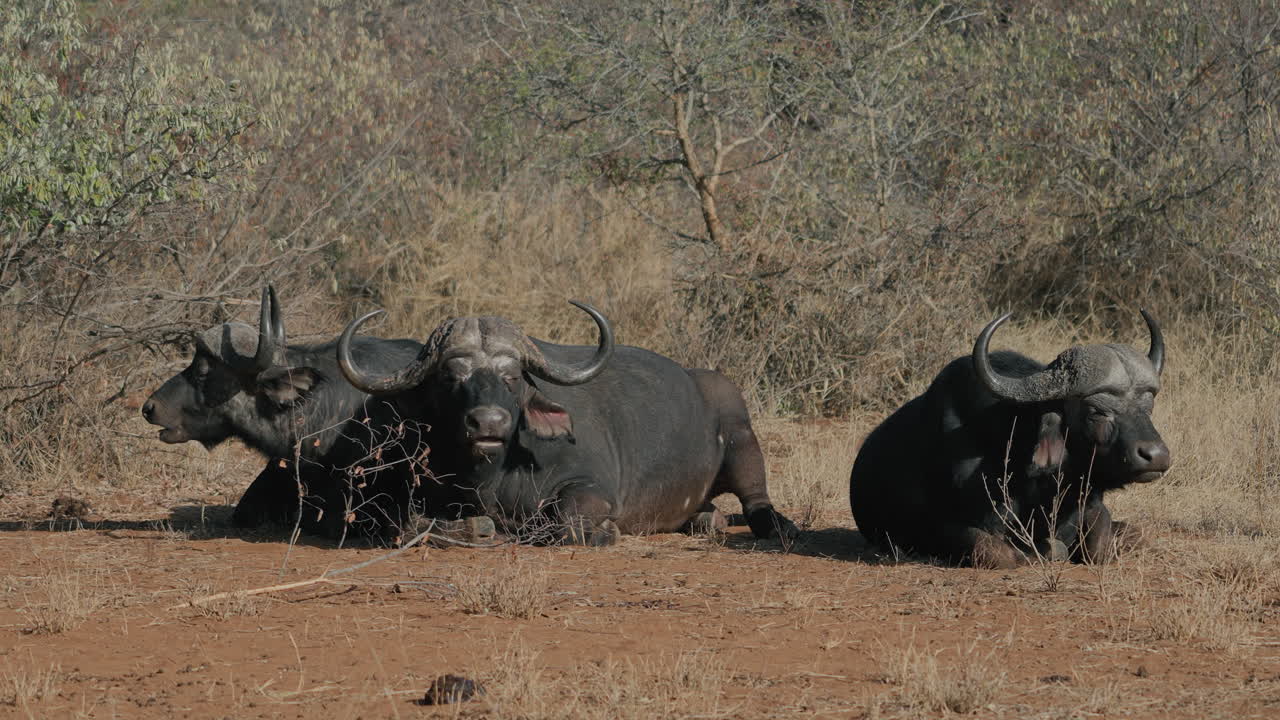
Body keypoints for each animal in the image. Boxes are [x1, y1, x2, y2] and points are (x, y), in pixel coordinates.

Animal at [336, 301, 798, 545]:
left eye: (512, 376)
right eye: (452, 377)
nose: (488, 423)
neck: (493, 476)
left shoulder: (592, 491)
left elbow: (565, 522)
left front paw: (606, 531)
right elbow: (411, 523)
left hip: (742, 438)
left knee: (756, 500)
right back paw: (706, 520)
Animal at [849, 311, 1171, 568]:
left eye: (1148, 407)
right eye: (1096, 411)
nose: (1155, 455)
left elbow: (1101, 546)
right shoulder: (937, 526)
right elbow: (997, 551)